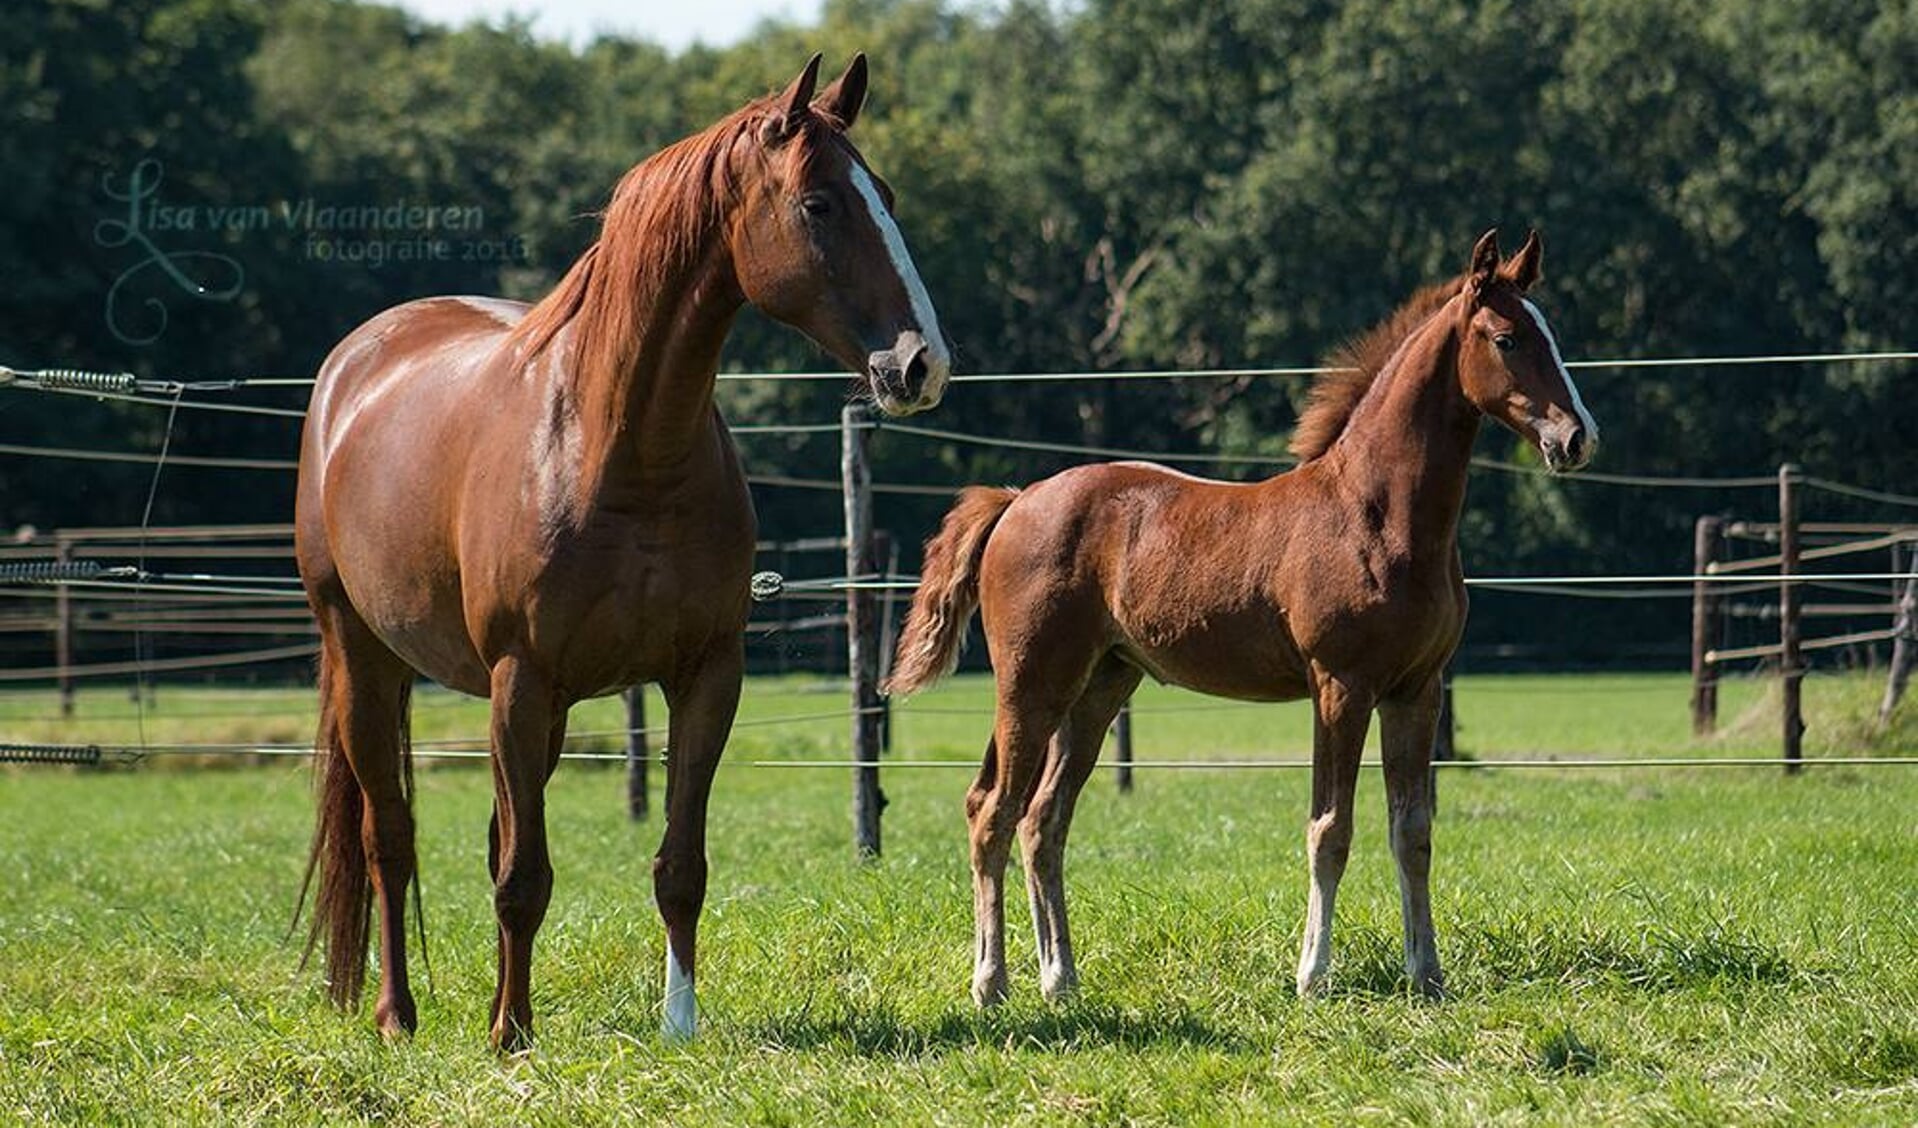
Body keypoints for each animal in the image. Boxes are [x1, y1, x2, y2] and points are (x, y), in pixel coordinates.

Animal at [295, 55, 947, 1051]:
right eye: (820, 204)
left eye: (889, 196)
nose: (921, 364)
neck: (620, 447)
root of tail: (355, 361)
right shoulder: (521, 681)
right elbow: (521, 877)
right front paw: (510, 1038)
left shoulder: (704, 676)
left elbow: (678, 865)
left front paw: (677, 1023)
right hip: (366, 660)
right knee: (389, 838)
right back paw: (397, 1015)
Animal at [889, 233, 1595, 1005]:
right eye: (1506, 338)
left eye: (1552, 334)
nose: (1576, 438)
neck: (1376, 514)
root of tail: (1017, 500)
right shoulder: (1340, 686)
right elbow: (1330, 828)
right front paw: (1312, 975)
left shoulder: (1418, 690)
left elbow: (1413, 831)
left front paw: (1428, 974)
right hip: (1031, 682)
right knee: (992, 810)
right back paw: (992, 982)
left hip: (1098, 687)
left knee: (1043, 819)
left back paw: (1061, 978)